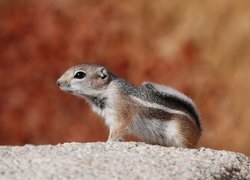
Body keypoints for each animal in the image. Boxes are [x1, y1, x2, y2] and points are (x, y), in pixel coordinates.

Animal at [56, 64, 201, 147]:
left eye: (79, 75)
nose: (58, 82)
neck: (108, 89)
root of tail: (199, 131)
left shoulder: (121, 113)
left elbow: (118, 130)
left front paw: (108, 142)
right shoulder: (110, 119)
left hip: (180, 135)